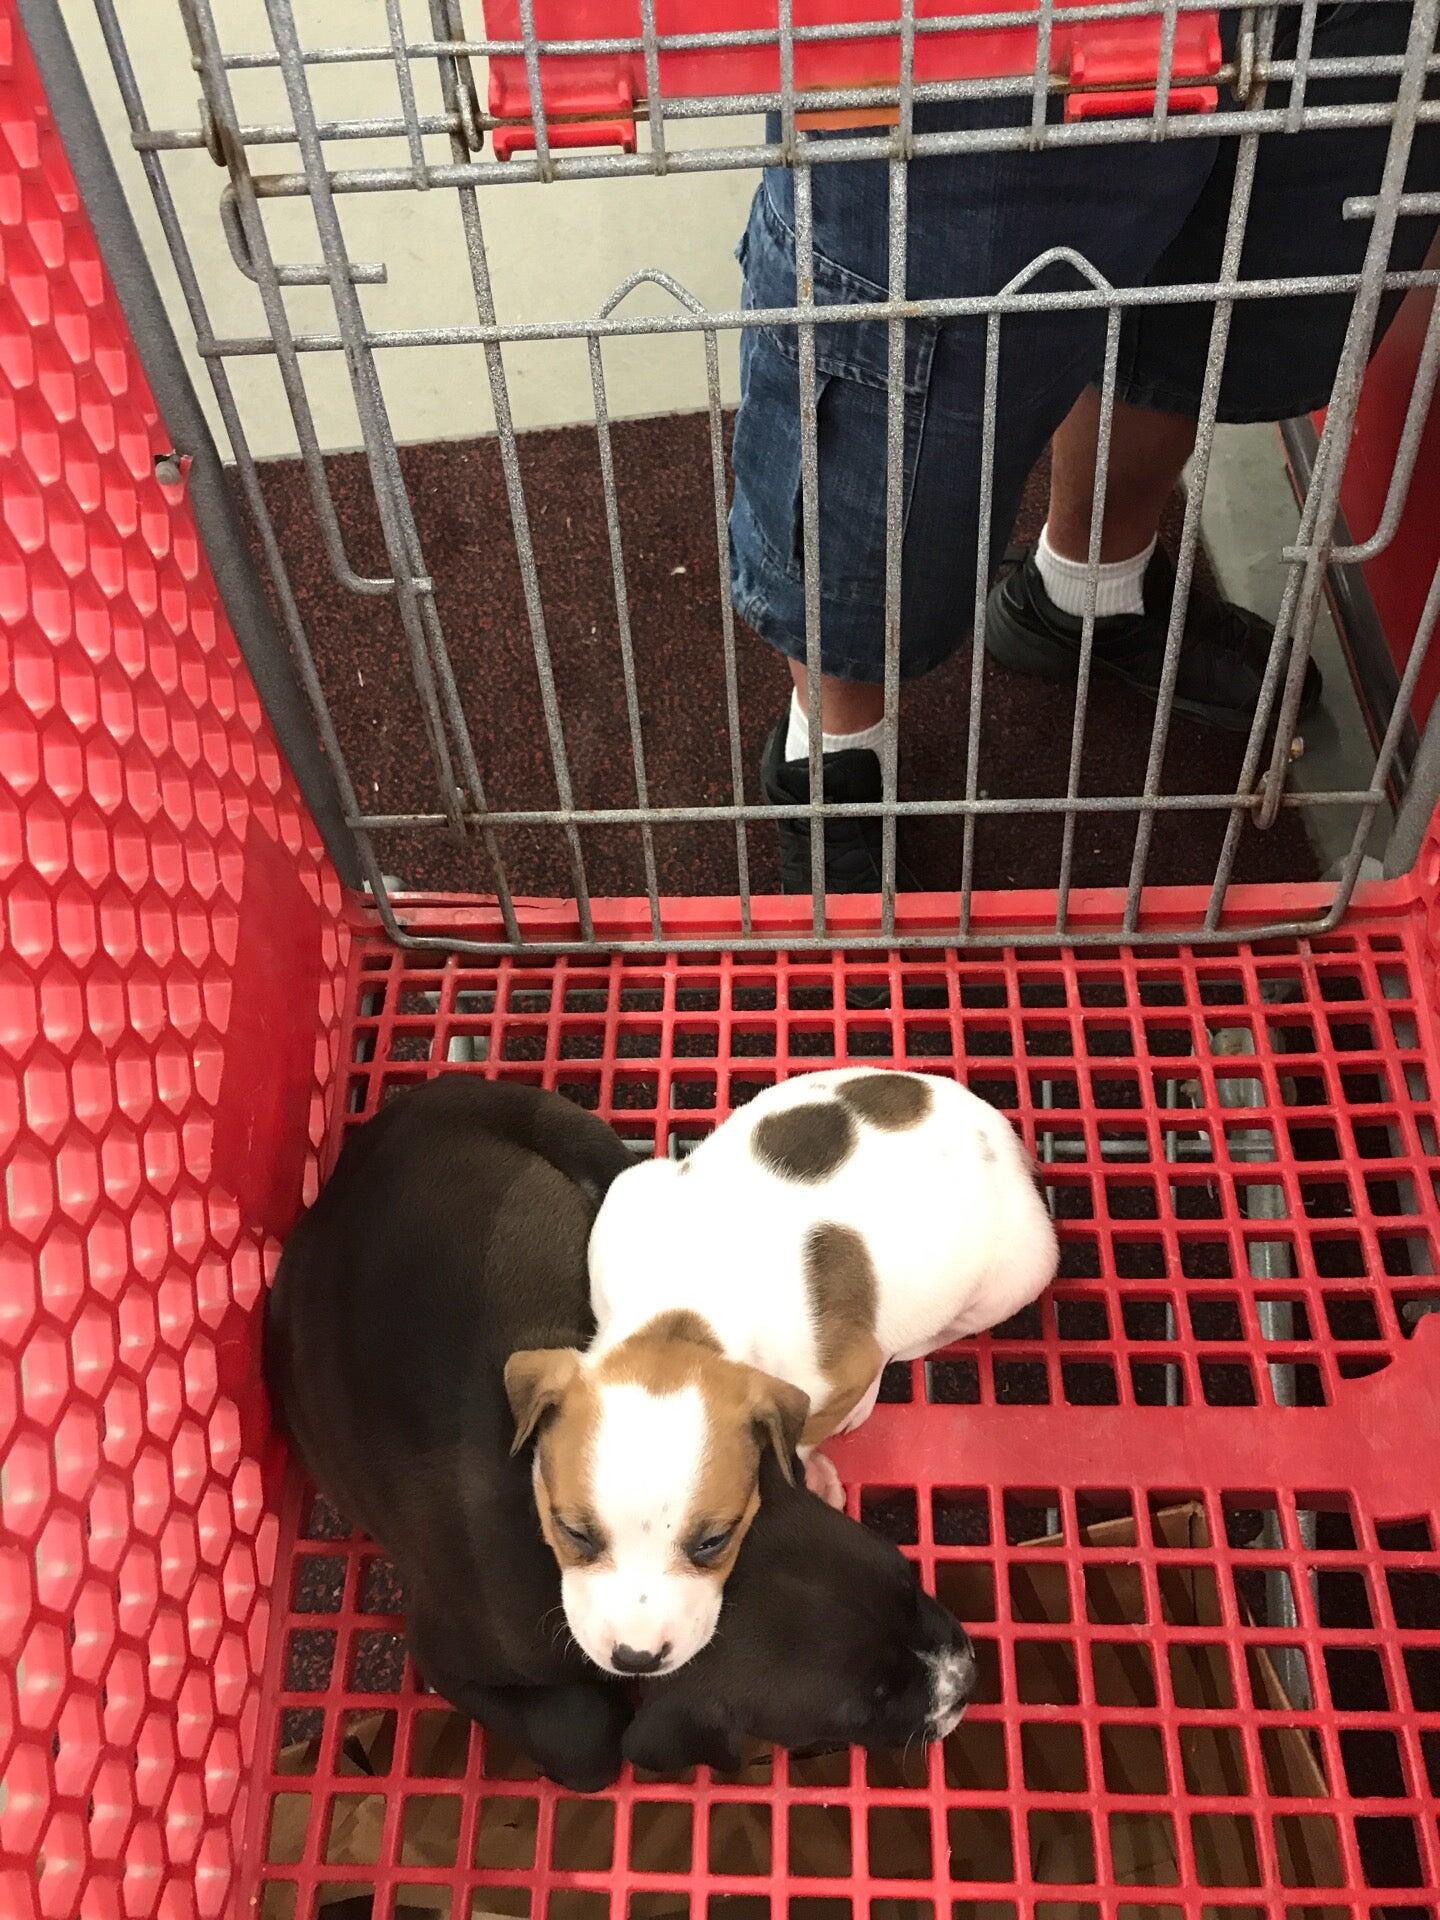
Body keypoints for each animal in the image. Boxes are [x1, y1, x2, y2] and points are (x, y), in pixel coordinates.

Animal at [507, 1068, 1055, 1673]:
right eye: (572, 1531)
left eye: (714, 1542)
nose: (636, 1658)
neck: (685, 1316)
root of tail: (1005, 1140)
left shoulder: (838, 1374)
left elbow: (810, 1428)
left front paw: (811, 1464)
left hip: (1021, 1274)